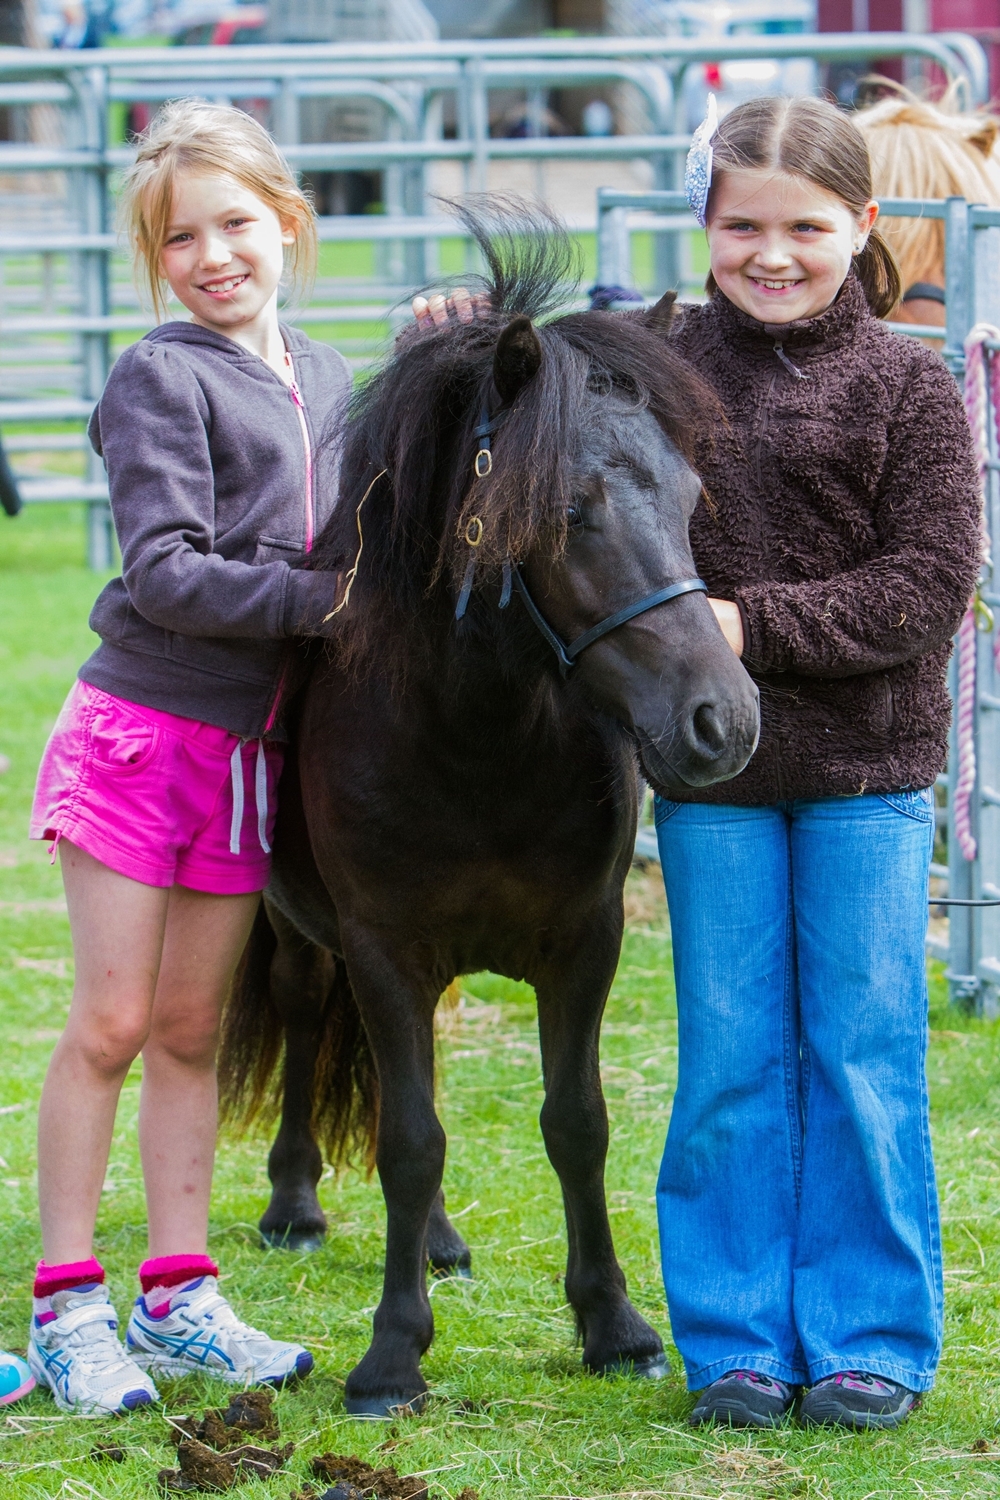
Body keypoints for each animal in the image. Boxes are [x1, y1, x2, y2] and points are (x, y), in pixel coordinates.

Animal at [220, 205, 758, 1410]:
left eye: (692, 500)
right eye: (567, 511)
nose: (724, 720)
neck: (477, 743)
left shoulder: (584, 944)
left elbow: (576, 1122)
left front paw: (614, 1325)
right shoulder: (383, 952)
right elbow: (412, 1139)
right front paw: (391, 1354)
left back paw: (435, 1241)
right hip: (302, 937)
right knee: (313, 1026)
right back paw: (296, 1204)